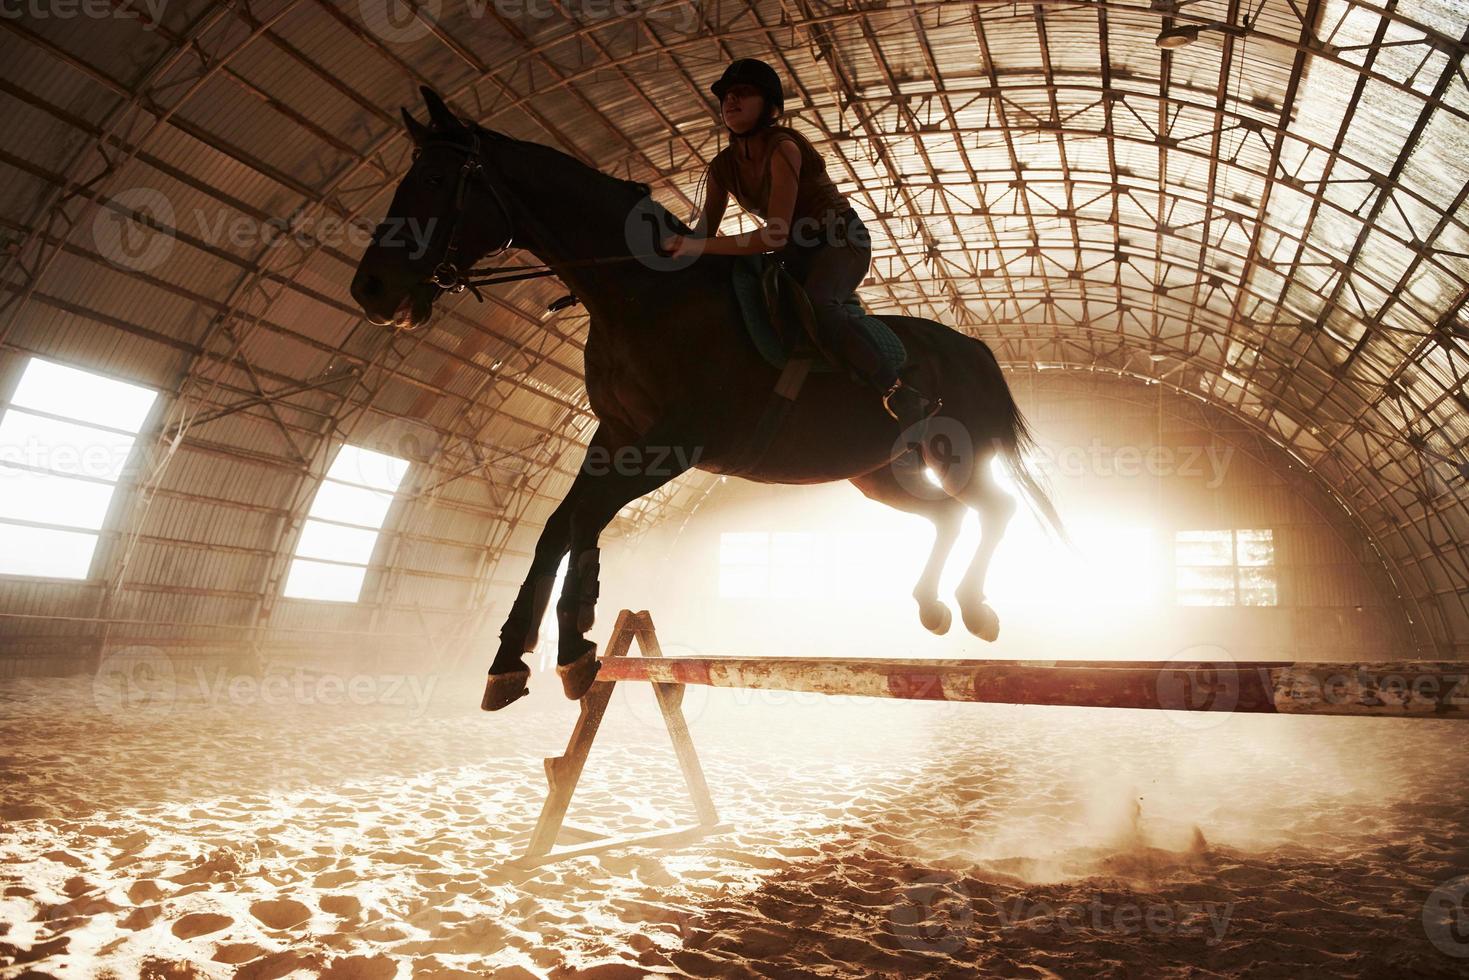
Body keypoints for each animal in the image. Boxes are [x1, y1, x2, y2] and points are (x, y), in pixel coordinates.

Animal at [349, 88, 1063, 708]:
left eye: (434, 181)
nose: (370, 290)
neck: (640, 297)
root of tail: (972, 346)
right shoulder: (617, 436)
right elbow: (558, 524)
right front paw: (512, 662)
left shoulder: (673, 446)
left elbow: (585, 520)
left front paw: (574, 648)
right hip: (876, 473)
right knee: (949, 516)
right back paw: (936, 609)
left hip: (953, 452)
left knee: (993, 508)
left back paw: (976, 610)